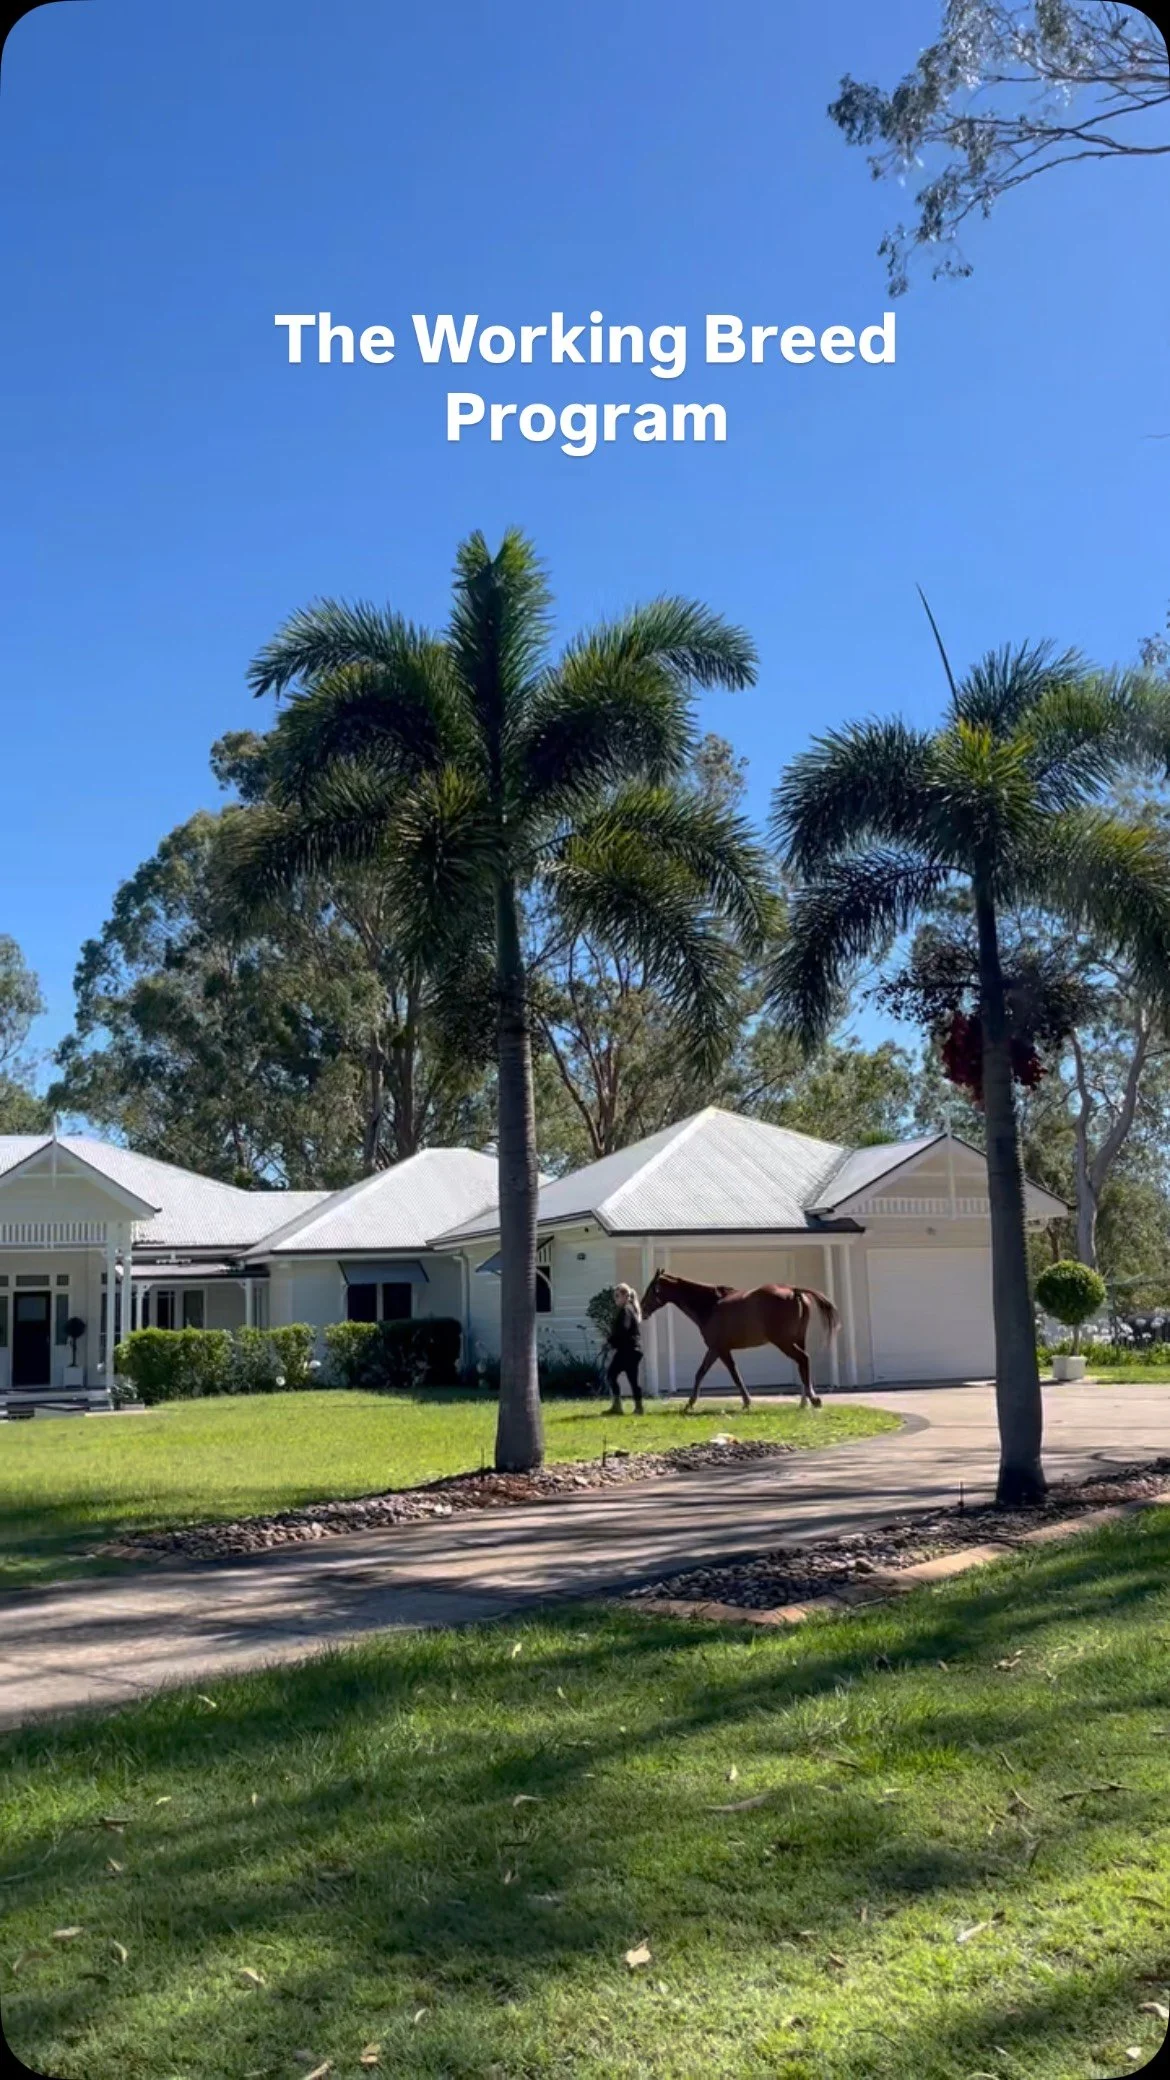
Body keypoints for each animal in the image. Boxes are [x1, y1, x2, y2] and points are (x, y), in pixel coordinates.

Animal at [639, 1269, 839, 1411]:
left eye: (650, 1290)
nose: (641, 1310)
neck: (710, 1306)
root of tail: (794, 1291)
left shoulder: (721, 1350)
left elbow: (735, 1375)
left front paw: (746, 1402)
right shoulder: (714, 1349)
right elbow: (700, 1373)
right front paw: (690, 1404)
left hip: (784, 1342)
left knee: (803, 1359)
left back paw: (813, 1399)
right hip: (798, 1339)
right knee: (803, 1365)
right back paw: (804, 1402)